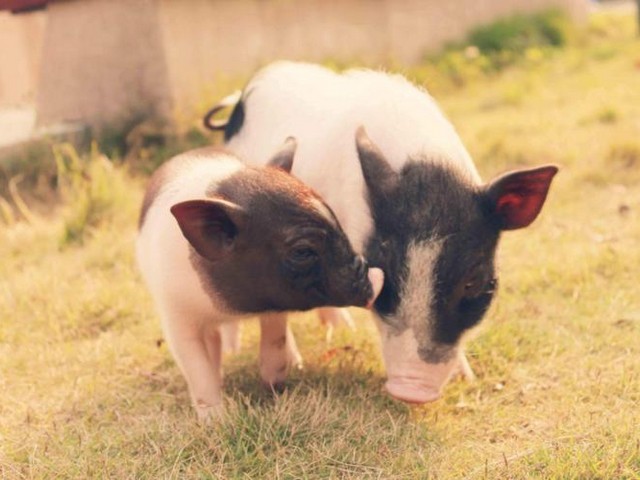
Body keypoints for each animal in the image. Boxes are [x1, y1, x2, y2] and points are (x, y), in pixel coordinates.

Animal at [137, 141, 382, 418]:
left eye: (338, 225)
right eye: (302, 251)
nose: (373, 273)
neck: (231, 307)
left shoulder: (275, 301)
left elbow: (275, 340)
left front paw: (275, 388)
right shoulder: (176, 316)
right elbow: (197, 368)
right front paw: (215, 419)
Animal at [211, 60, 560, 404]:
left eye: (473, 282)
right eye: (387, 274)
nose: (412, 391)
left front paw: (465, 378)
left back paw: (342, 331)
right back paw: (238, 352)